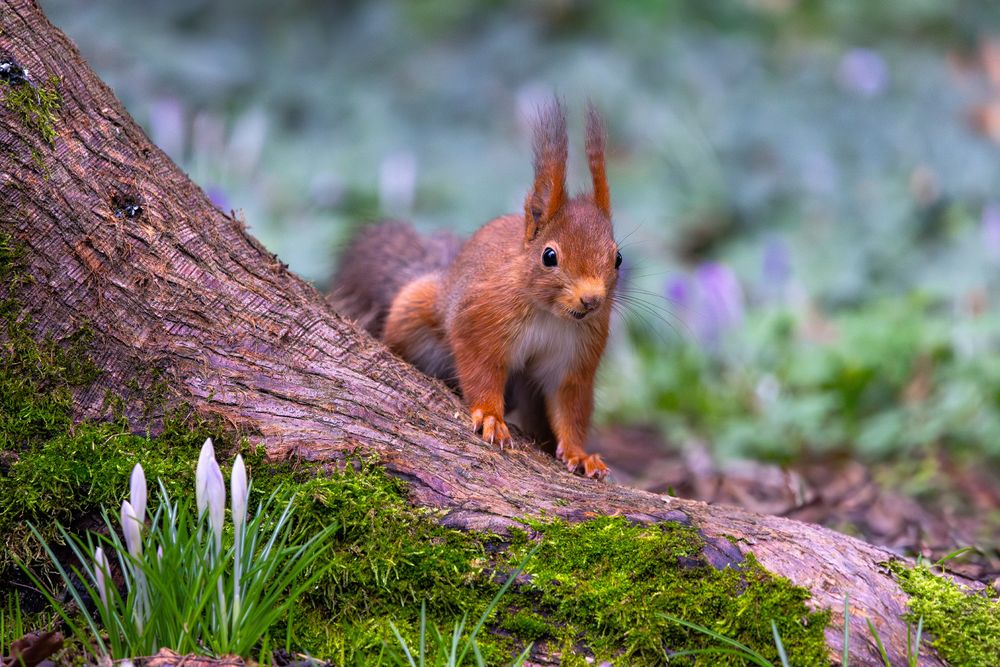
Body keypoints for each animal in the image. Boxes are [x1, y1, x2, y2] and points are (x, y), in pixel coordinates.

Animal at [332, 102, 620, 480]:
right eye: (549, 256)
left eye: (618, 258)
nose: (592, 300)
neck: (550, 314)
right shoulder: (482, 318)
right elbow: (480, 368)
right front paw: (491, 418)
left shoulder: (577, 354)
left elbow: (570, 404)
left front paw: (579, 453)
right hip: (416, 309)